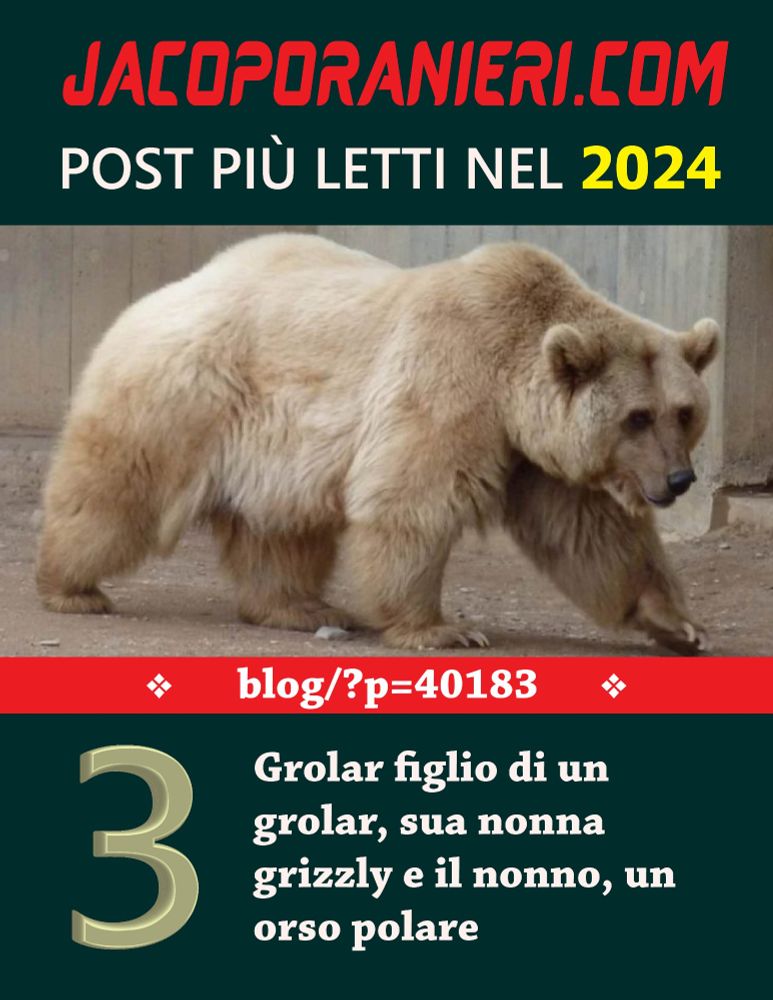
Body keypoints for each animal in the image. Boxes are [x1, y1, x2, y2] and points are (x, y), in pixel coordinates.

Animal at [36, 233, 719, 652]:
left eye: (684, 412)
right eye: (637, 417)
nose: (679, 480)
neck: (511, 378)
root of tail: (158, 294)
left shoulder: (534, 453)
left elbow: (589, 532)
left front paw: (679, 624)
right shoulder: (452, 380)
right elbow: (413, 499)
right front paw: (444, 629)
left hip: (276, 447)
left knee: (280, 529)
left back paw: (301, 607)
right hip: (186, 394)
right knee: (116, 491)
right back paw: (70, 586)